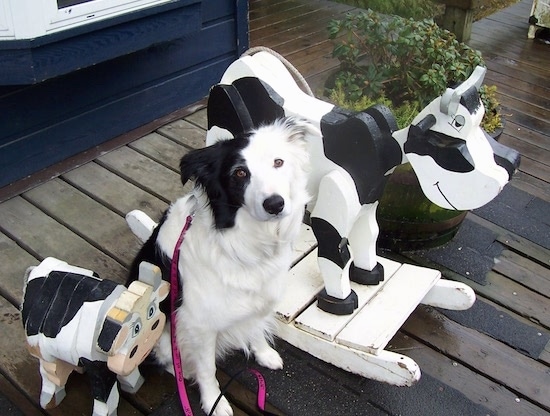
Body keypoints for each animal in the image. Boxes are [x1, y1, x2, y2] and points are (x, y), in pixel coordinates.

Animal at [127, 118, 312, 416]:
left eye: (278, 162)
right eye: (239, 173)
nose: (274, 204)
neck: (245, 242)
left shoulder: (260, 298)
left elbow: (256, 329)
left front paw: (264, 354)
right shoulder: (199, 325)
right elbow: (207, 369)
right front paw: (214, 401)